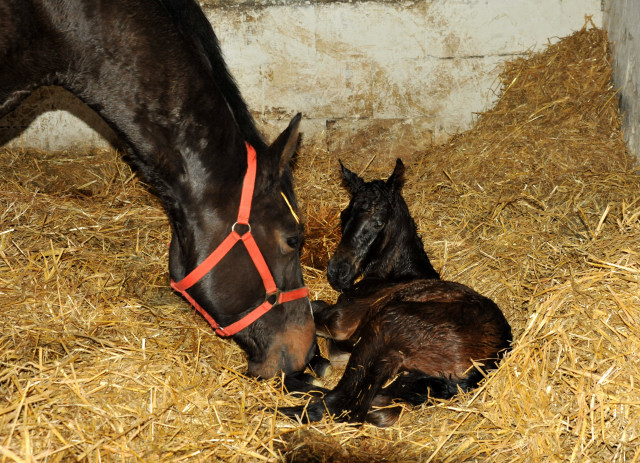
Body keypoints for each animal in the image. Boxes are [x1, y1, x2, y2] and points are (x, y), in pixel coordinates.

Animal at [278, 160, 510, 428]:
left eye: (379, 222)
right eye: (344, 215)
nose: (337, 272)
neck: (394, 275)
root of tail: (494, 356)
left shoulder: (341, 322)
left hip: (385, 331)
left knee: (342, 404)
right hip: (412, 377)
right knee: (380, 405)